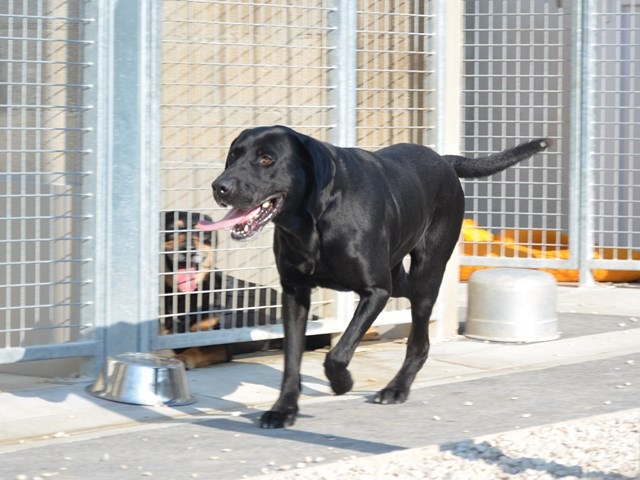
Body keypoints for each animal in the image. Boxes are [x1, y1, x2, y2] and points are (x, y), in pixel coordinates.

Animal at [200, 124, 552, 428]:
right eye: (234, 155)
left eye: (266, 159)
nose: (220, 186)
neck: (315, 217)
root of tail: (444, 160)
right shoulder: (295, 293)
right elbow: (291, 360)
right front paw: (284, 409)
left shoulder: (375, 290)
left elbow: (338, 353)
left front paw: (342, 383)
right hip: (399, 277)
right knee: (407, 294)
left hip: (427, 272)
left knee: (419, 340)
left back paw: (397, 388)